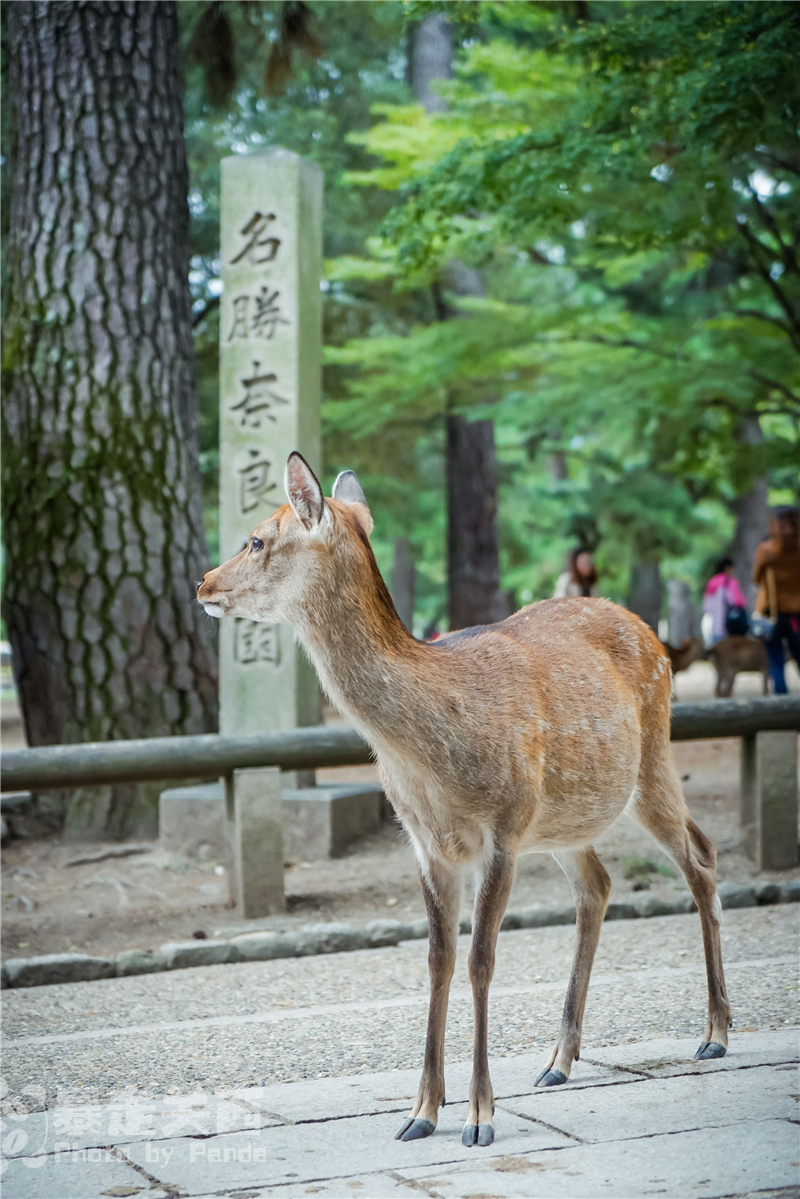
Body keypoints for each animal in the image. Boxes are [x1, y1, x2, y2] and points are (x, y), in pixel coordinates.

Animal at [199, 453, 734, 1146]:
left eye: (258, 538)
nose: (204, 584)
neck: (432, 757)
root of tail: (653, 632)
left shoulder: (502, 830)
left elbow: (481, 959)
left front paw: (479, 1116)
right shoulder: (426, 842)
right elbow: (437, 960)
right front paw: (421, 1112)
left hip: (651, 761)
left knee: (700, 856)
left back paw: (716, 1033)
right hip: (562, 818)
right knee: (597, 885)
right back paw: (559, 1060)